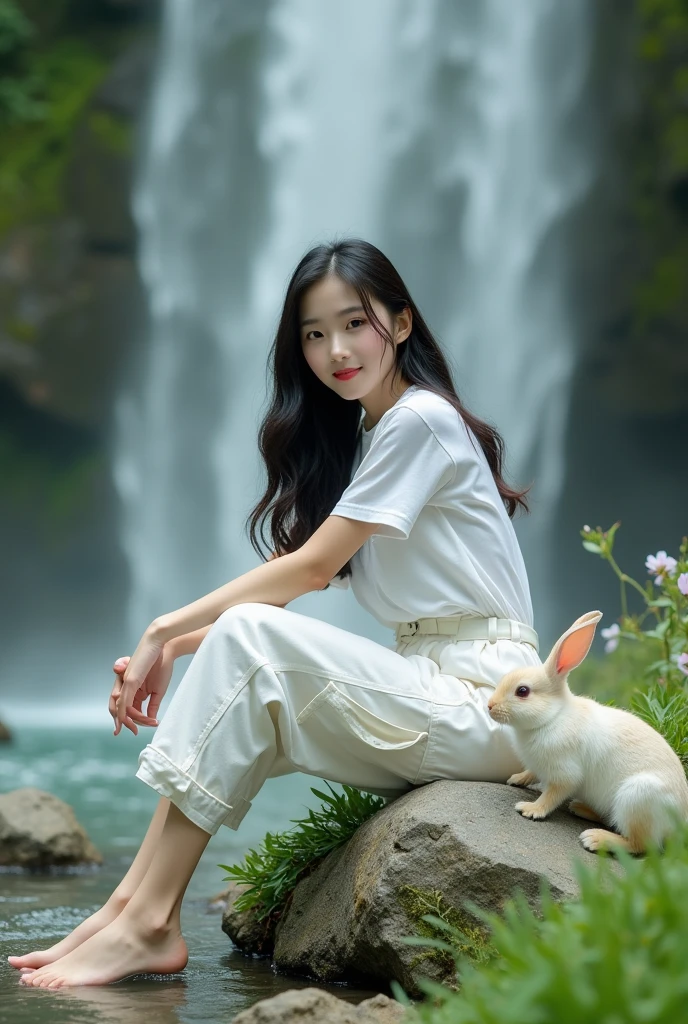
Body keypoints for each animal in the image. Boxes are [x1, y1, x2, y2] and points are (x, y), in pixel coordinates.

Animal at [487, 610, 683, 851]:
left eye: (522, 691)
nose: (489, 706)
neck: (553, 717)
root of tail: (680, 826)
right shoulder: (539, 766)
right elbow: (531, 773)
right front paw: (516, 779)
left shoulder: (565, 774)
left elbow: (552, 795)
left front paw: (530, 809)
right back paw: (580, 808)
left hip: (638, 799)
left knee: (640, 845)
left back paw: (594, 838)